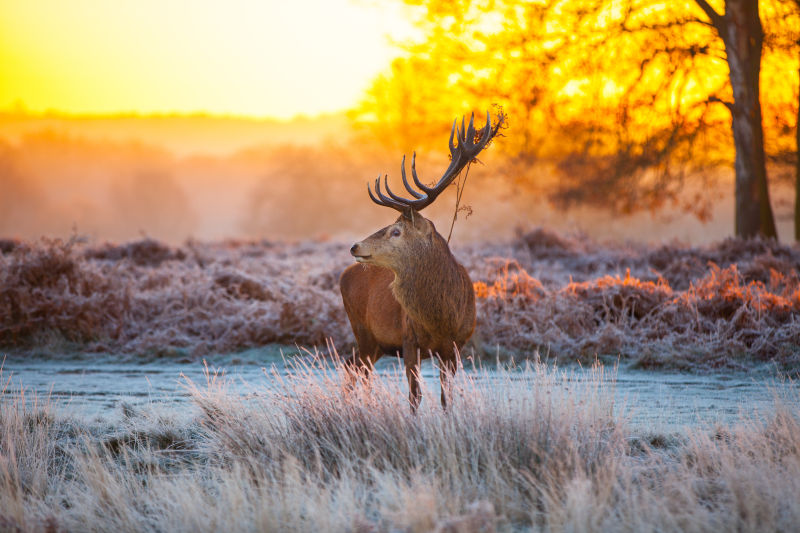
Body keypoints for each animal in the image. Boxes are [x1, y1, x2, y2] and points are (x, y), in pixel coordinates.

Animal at [338, 111, 500, 408]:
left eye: (396, 231)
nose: (355, 246)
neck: (441, 319)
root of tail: (344, 275)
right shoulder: (408, 339)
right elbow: (415, 395)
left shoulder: (455, 346)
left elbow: (446, 397)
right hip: (363, 330)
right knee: (356, 368)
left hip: (376, 343)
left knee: (353, 366)